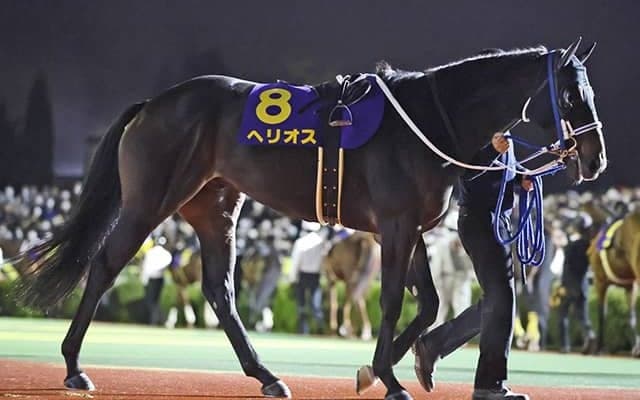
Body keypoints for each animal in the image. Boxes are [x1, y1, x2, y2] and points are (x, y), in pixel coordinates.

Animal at [15, 39, 607, 400]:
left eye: (589, 91)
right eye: (572, 93)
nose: (595, 157)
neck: (427, 118)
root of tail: (153, 103)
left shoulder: (410, 229)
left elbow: (428, 303)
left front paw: (380, 368)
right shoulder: (394, 226)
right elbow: (395, 302)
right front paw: (388, 376)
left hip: (214, 209)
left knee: (219, 291)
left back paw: (267, 375)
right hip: (148, 202)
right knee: (105, 266)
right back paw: (73, 368)